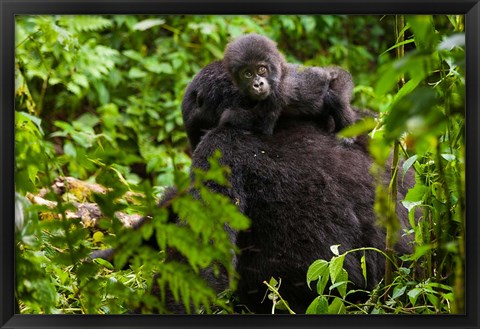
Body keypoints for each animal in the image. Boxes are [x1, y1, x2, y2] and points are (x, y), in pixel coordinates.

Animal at [221, 32, 356, 135]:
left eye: (261, 70)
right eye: (248, 74)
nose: (258, 84)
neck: (280, 73)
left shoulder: (278, 92)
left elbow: (261, 126)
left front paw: (228, 116)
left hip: (342, 79)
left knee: (336, 97)